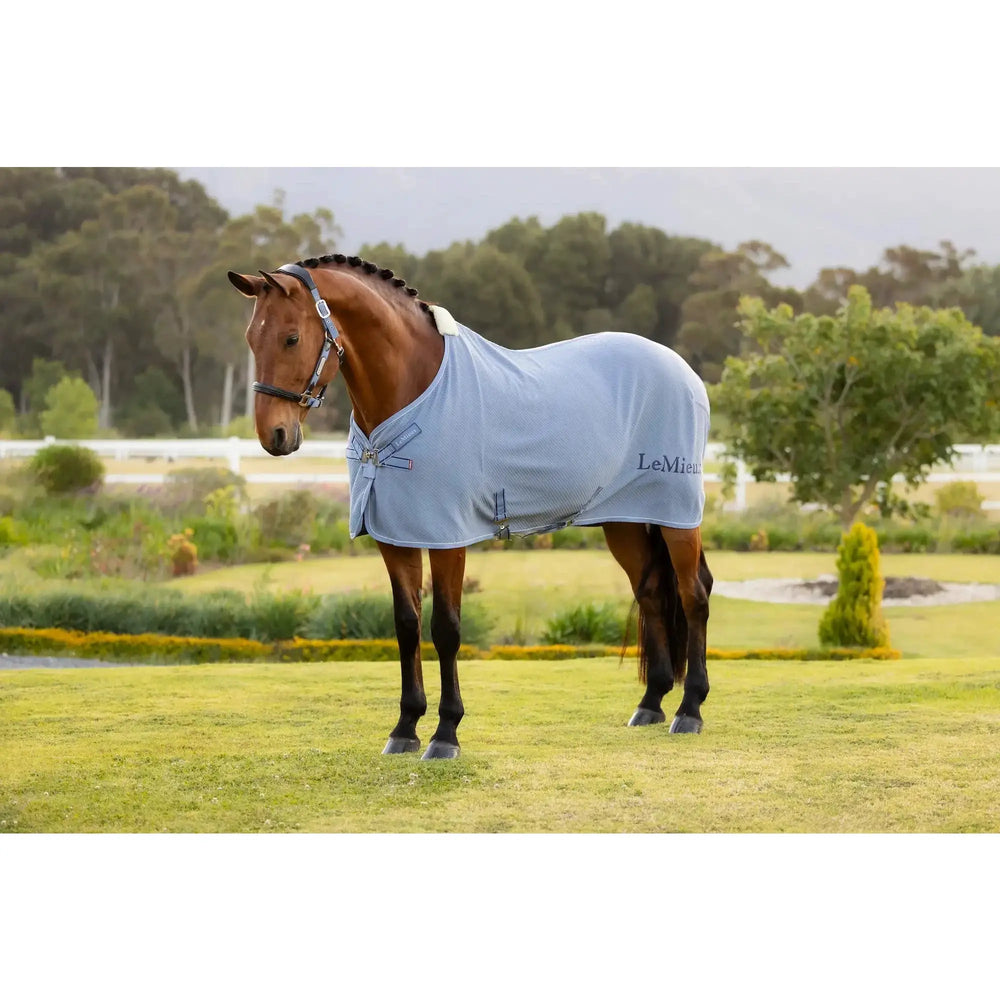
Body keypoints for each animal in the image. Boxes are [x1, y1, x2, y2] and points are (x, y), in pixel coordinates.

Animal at [228, 253, 713, 760]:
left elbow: (445, 628)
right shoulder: (395, 536)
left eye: (291, 337)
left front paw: (445, 733)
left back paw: (689, 710)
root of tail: (682, 370)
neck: (414, 390)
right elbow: (407, 625)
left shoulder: (447, 538)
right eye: (251, 339)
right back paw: (651, 703)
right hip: (624, 521)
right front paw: (404, 728)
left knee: (693, 594)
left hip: (678, 518)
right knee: (652, 593)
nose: (274, 436)